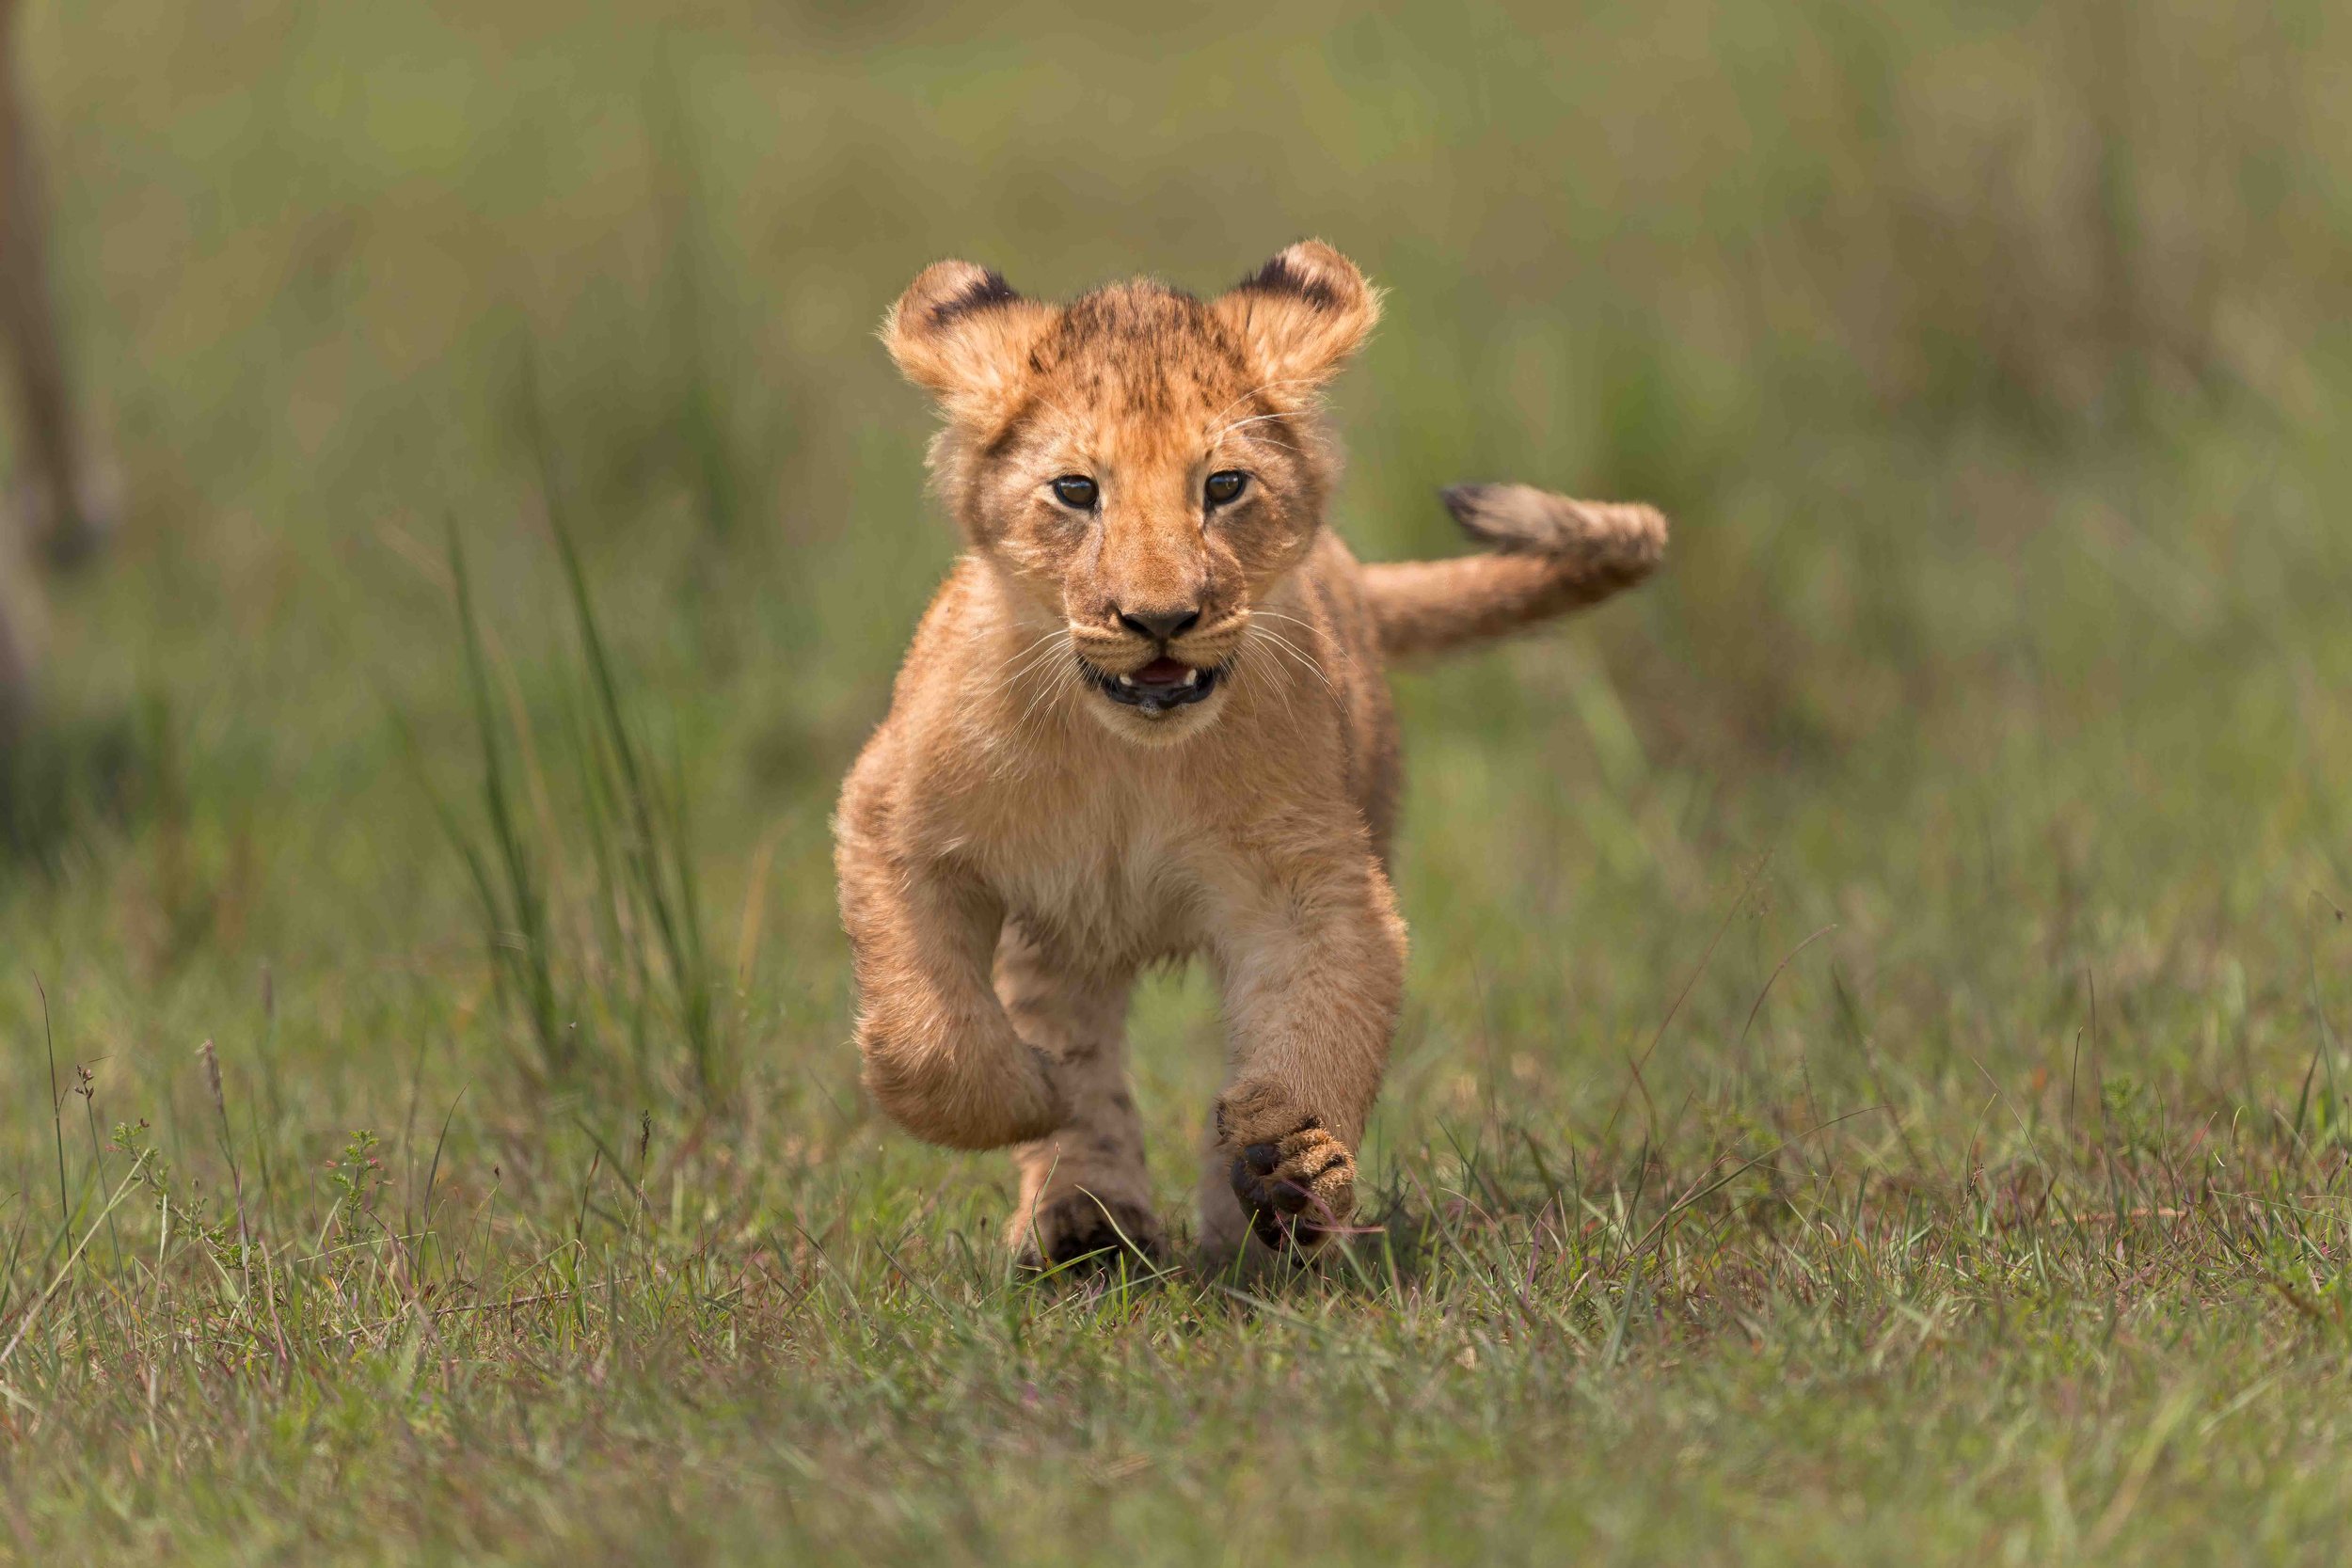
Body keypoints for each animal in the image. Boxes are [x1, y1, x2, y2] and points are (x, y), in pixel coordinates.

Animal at [834, 241, 1666, 1269]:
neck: (1128, 756)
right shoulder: (893, 818)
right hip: (1060, 926)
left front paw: (1295, 1164)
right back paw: (1083, 1222)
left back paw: (1245, 1236)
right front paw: (1030, 1095)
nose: (1159, 619)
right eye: (1077, 490)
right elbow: (921, 1034)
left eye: (1223, 486)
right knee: (1073, 1027)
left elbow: (1319, 1013)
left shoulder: (1310, 878)